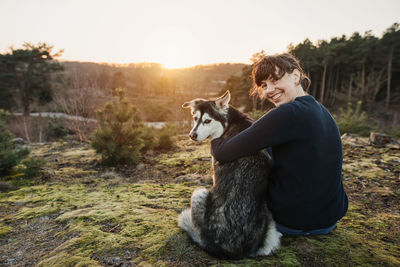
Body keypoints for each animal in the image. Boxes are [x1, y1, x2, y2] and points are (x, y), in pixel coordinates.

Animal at [178, 90, 282, 260]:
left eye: (207, 121)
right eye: (195, 118)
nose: (192, 135)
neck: (228, 124)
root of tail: (232, 250)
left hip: (198, 194)